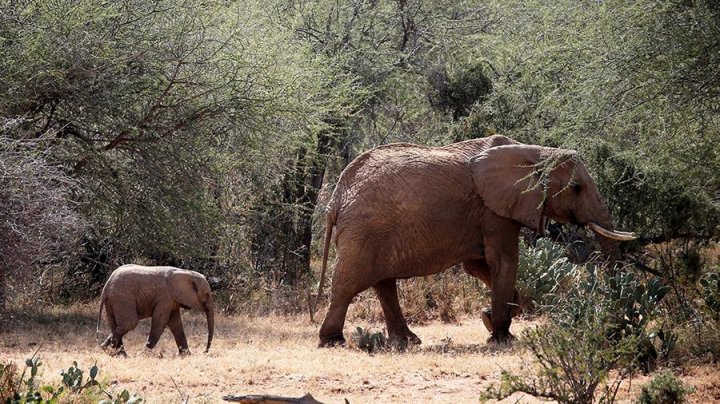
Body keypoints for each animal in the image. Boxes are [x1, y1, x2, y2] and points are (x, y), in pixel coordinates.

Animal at [318, 135, 632, 348]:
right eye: (576, 188)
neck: (535, 151)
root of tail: (336, 198)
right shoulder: (493, 209)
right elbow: (503, 261)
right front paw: (502, 336)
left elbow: (479, 266)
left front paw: (492, 318)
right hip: (364, 230)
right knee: (348, 283)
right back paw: (333, 341)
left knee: (383, 284)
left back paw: (409, 341)